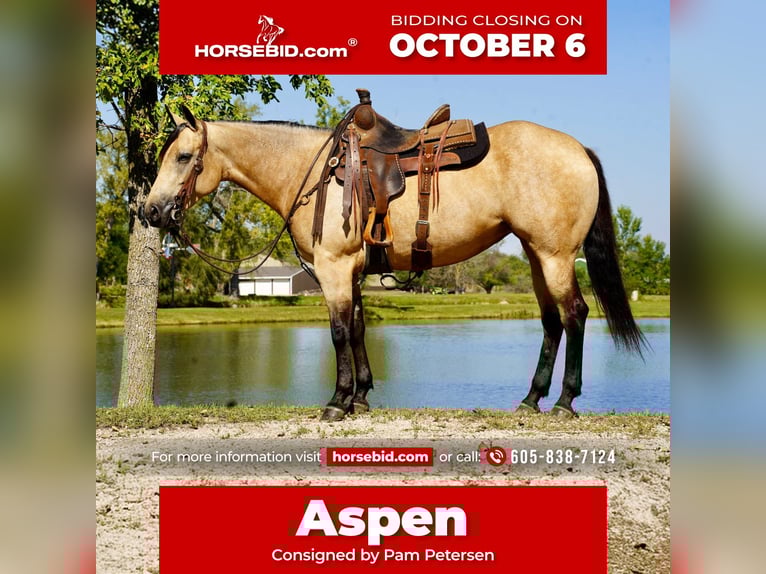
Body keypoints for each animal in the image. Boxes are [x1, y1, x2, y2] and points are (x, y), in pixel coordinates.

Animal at [142, 102, 646, 421]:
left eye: (183, 157)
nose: (150, 211)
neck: (314, 171)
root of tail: (578, 148)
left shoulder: (334, 268)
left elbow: (339, 332)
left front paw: (338, 401)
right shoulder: (351, 272)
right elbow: (358, 329)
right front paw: (361, 397)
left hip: (555, 255)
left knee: (574, 314)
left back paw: (563, 401)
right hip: (536, 254)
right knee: (551, 321)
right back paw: (530, 399)